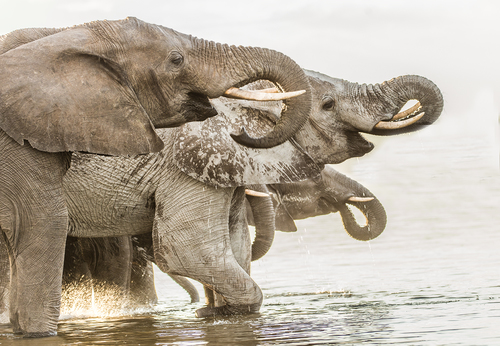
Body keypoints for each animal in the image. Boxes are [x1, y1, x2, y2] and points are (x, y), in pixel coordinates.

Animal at [0, 17, 312, 336]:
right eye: (176, 59)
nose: (241, 132)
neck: (64, 36)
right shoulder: (18, 148)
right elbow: (46, 224)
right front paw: (38, 334)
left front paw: (217, 312)